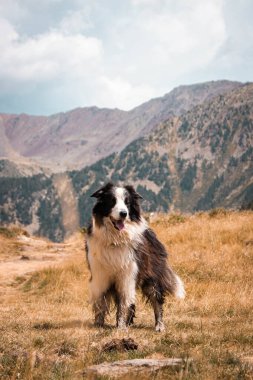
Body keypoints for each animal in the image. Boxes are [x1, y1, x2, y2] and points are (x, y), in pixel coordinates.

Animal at [85, 183, 184, 332]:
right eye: (112, 201)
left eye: (127, 203)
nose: (123, 213)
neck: (115, 240)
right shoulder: (100, 275)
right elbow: (100, 302)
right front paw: (99, 325)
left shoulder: (127, 275)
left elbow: (122, 305)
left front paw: (120, 327)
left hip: (151, 279)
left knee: (157, 300)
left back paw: (159, 326)